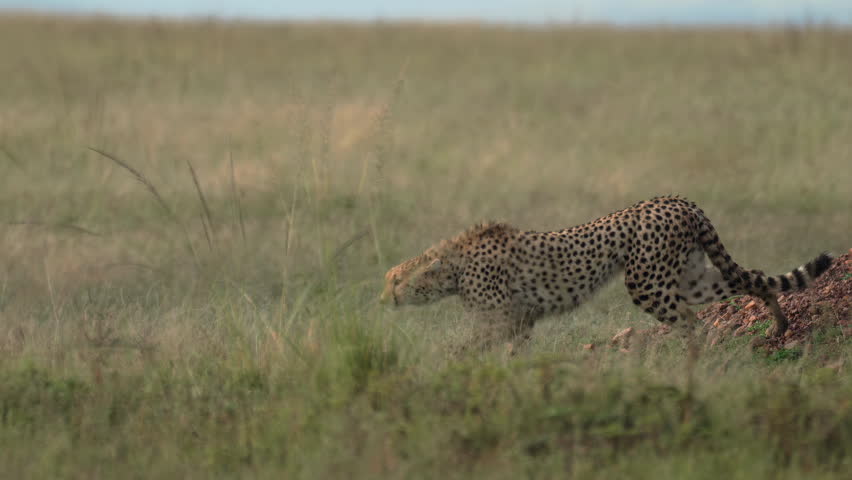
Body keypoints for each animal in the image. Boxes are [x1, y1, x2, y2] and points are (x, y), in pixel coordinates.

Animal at [380, 195, 833, 350]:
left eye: (395, 280)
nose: (383, 298)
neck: (453, 267)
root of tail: (677, 200)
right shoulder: (520, 320)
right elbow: (515, 351)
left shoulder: (502, 318)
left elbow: (467, 348)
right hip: (689, 276)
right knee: (750, 277)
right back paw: (779, 324)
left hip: (648, 283)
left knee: (692, 322)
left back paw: (690, 363)